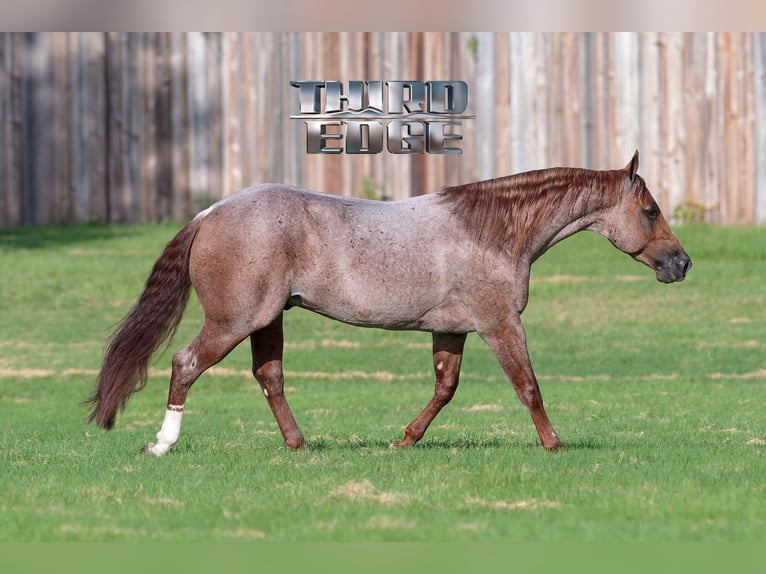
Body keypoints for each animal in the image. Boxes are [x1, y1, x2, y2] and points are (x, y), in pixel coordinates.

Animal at [87, 151, 691, 455]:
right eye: (651, 210)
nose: (682, 264)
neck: (494, 231)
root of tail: (210, 213)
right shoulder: (499, 324)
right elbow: (529, 388)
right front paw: (555, 446)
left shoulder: (451, 330)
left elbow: (445, 390)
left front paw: (404, 440)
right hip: (234, 320)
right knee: (186, 363)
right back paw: (161, 445)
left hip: (267, 320)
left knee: (269, 377)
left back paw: (300, 446)